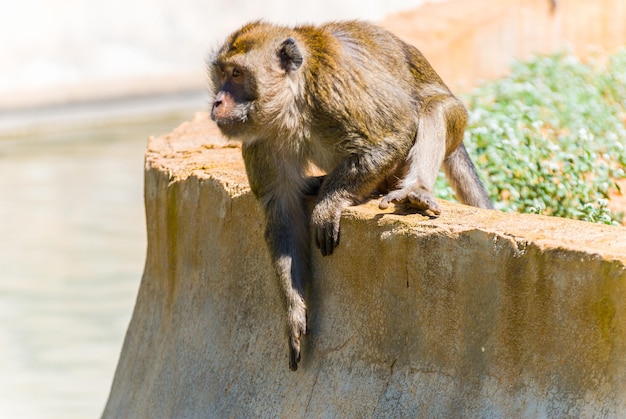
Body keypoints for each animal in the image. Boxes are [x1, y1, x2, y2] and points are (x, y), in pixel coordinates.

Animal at [210, 19, 492, 370]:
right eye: (221, 74)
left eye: (237, 74)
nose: (217, 102)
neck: (293, 104)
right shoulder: (261, 138)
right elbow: (283, 213)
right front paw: (294, 312)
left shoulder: (333, 90)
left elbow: (392, 136)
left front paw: (326, 206)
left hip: (455, 119)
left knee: (432, 109)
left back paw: (415, 190)